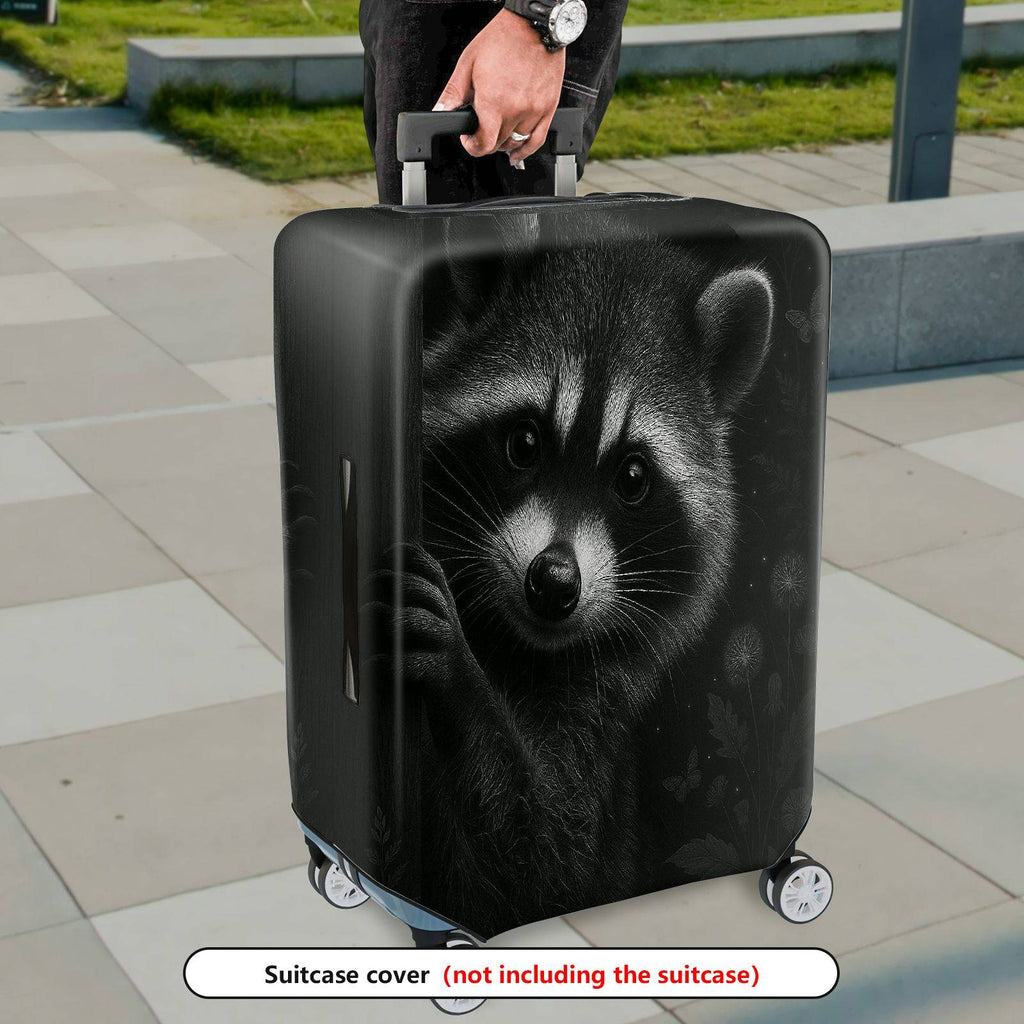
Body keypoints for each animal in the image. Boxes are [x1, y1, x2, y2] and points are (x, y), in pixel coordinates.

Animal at [376, 210, 774, 936]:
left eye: (634, 478)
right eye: (524, 443)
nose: (554, 583)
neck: (515, 643)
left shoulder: (597, 715)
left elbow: (544, 857)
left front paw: (461, 683)